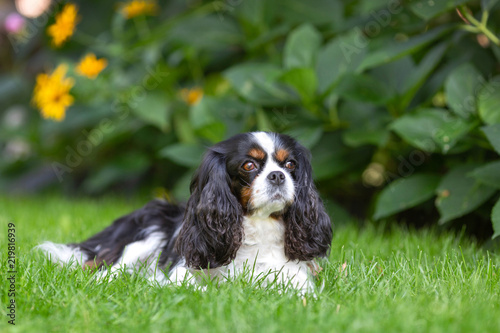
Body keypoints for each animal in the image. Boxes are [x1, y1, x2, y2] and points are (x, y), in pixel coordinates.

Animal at [39, 131, 332, 292]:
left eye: (290, 164)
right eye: (248, 165)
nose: (278, 175)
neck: (256, 224)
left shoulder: (289, 271)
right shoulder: (184, 271)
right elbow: (194, 287)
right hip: (148, 231)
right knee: (104, 270)